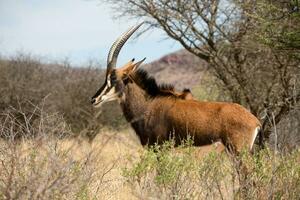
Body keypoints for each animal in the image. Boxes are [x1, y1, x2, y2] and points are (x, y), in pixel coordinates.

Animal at [91, 23, 260, 153]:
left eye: (113, 78)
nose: (94, 99)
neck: (149, 104)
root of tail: (255, 121)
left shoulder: (159, 148)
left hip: (238, 151)